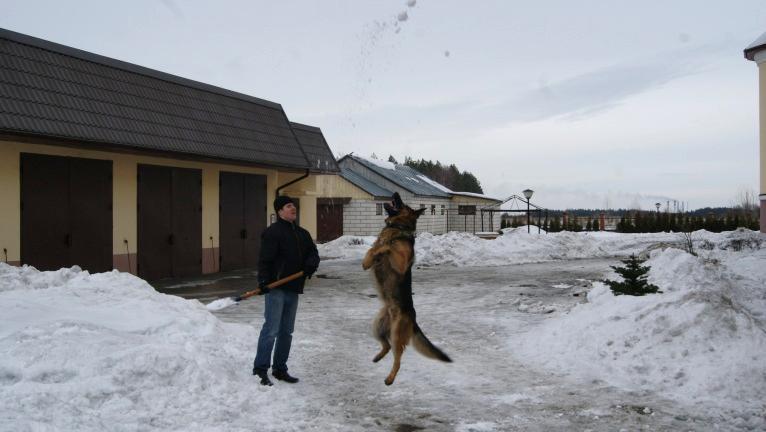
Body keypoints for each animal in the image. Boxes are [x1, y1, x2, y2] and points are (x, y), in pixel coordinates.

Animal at [364, 192, 452, 384]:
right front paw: (374, 253)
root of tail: (412, 318)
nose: (396, 193)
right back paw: (378, 357)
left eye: (403, 203)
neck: (397, 227)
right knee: (387, 346)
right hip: (377, 326)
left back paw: (390, 378)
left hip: (397, 334)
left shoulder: (401, 263)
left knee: (397, 358)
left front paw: (386, 245)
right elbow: (370, 252)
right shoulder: (369, 257)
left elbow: (388, 246)